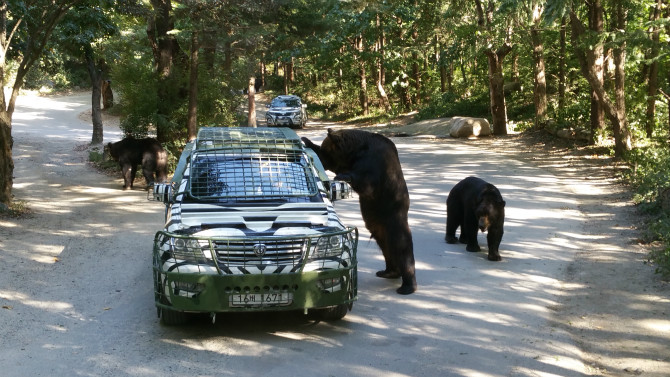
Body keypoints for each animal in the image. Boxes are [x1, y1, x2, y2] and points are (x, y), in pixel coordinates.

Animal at [302, 129, 418, 294]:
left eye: (327, 151)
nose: (321, 162)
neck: (356, 151)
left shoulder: (373, 161)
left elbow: (366, 182)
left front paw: (342, 175)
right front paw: (307, 140)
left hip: (392, 216)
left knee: (401, 245)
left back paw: (407, 285)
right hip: (378, 225)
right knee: (385, 246)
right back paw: (389, 271)